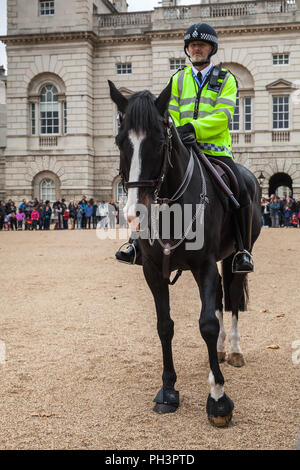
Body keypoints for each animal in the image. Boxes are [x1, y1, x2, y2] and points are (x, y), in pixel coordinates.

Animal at [108, 80, 260, 426]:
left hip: (233, 257)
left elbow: (207, 324)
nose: (134, 212)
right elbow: (165, 325)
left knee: (231, 297)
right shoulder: (153, 270)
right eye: (120, 141)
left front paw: (218, 399)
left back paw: (234, 350)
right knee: (220, 297)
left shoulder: (204, 265)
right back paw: (221, 350)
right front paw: (168, 390)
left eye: (159, 140)